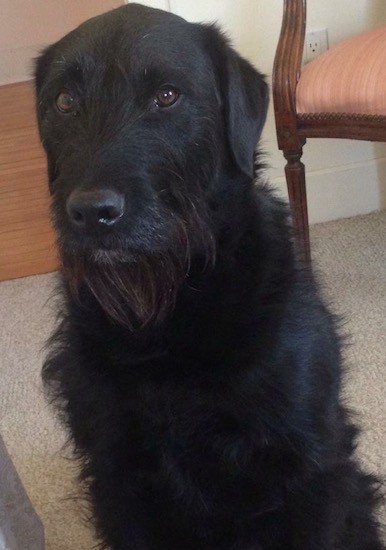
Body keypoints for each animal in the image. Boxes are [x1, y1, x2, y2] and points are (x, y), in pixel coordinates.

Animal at [35, 4, 382, 550]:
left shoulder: (307, 468)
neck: (171, 319)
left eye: (167, 96)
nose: (92, 214)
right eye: (65, 101)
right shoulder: (119, 479)